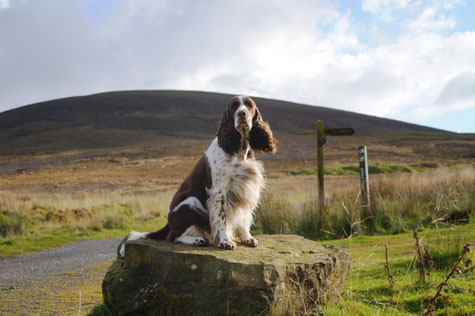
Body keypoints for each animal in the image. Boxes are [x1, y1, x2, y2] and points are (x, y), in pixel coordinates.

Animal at [118, 95, 276, 256]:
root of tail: (169, 222)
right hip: (191, 203)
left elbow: (243, 218)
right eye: (234, 106)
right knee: (173, 236)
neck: (239, 149)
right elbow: (222, 219)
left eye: (249, 105)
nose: (242, 114)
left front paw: (247, 238)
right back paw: (198, 240)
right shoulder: (219, 192)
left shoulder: (245, 188)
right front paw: (225, 242)